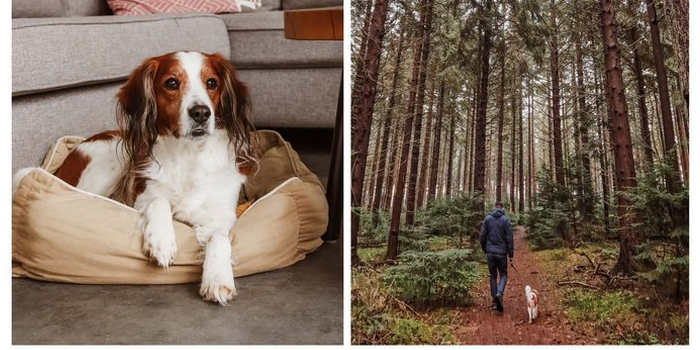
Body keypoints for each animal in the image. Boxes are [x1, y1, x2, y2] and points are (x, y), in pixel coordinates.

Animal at [17, 50, 256, 304]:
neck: (189, 155)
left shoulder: (222, 214)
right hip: (112, 158)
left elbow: (219, 237)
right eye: (172, 83)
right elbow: (159, 201)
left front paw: (218, 278)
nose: (201, 113)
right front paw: (161, 241)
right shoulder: (143, 194)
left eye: (212, 83)